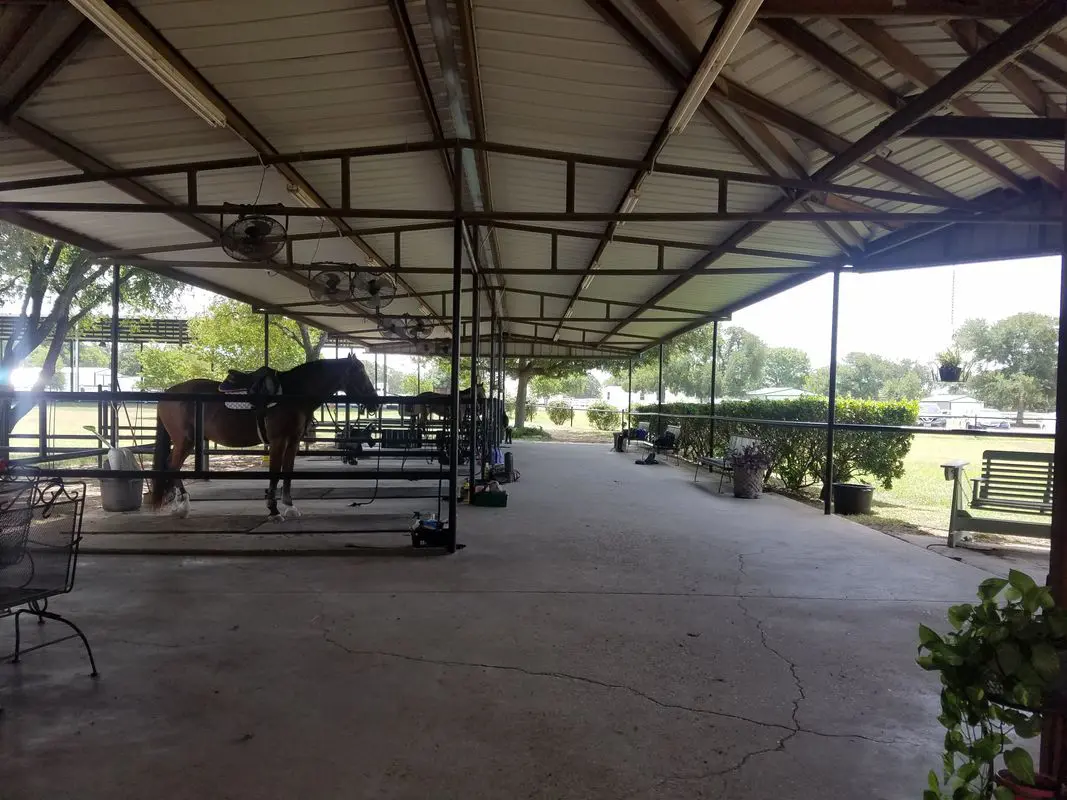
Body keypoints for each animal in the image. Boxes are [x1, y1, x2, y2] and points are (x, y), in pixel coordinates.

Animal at [152, 356, 377, 520]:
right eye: (360, 373)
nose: (374, 402)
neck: (292, 393)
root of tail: (167, 393)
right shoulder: (278, 441)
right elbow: (275, 474)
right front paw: (274, 510)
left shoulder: (293, 442)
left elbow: (287, 473)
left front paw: (289, 507)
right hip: (185, 441)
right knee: (173, 466)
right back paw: (183, 506)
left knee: (170, 466)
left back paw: (176, 505)